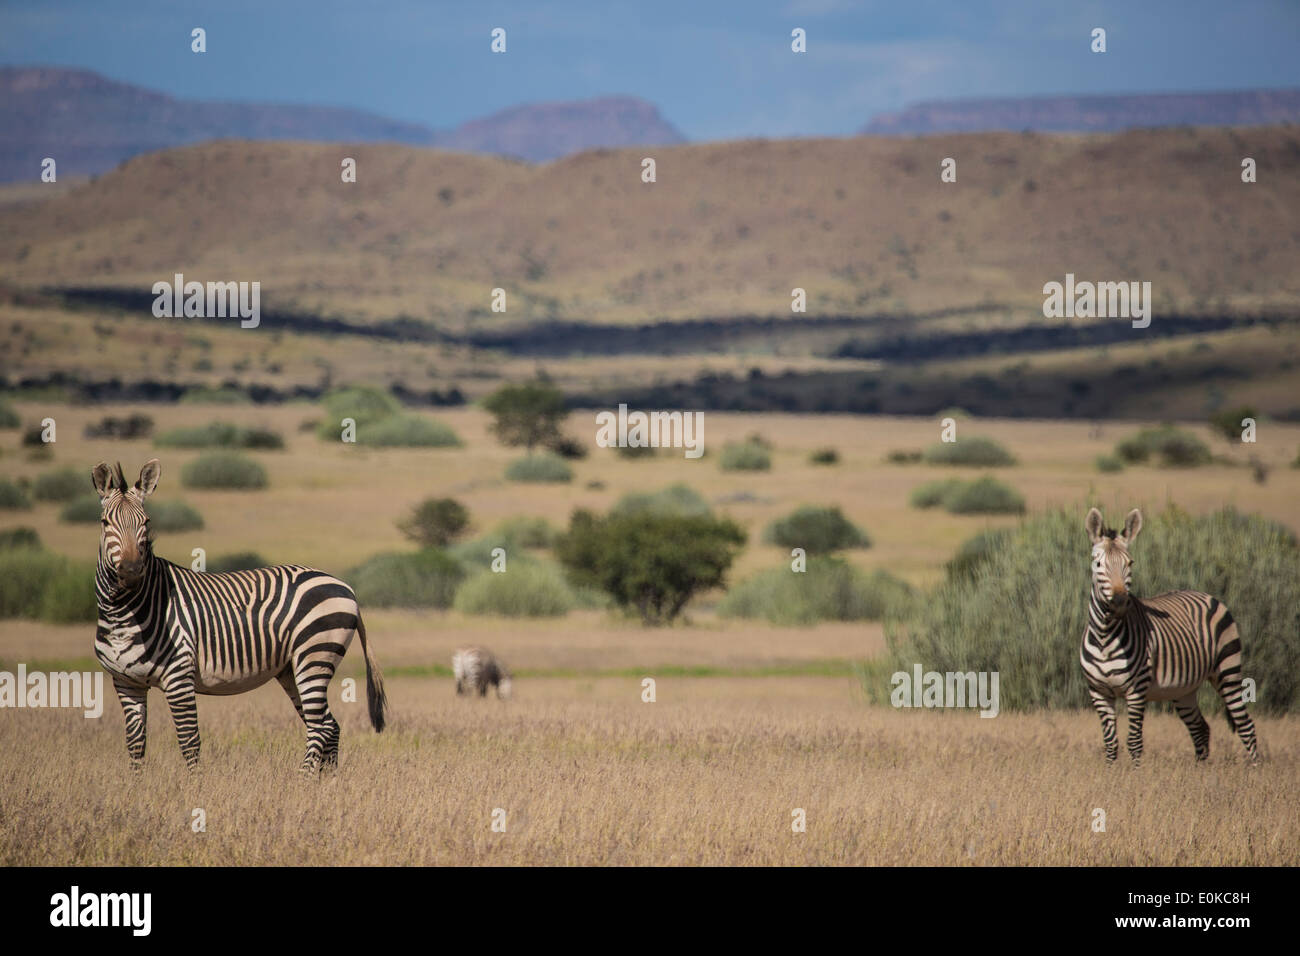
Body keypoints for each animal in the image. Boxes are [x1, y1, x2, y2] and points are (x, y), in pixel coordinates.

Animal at [90, 460, 384, 775]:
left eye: (146, 522)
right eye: (105, 523)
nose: (131, 572)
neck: (123, 613)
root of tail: (344, 585)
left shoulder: (178, 676)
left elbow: (189, 740)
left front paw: (195, 784)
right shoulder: (125, 682)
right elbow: (135, 743)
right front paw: (135, 783)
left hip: (314, 655)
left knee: (320, 726)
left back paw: (303, 779)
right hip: (291, 668)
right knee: (330, 724)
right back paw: (327, 780)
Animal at [1076, 509, 1258, 770]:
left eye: (1130, 563)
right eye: (1098, 563)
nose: (1120, 602)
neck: (1105, 636)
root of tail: (1206, 594)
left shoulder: (1136, 690)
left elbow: (1134, 741)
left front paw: (1135, 775)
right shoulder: (1099, 692)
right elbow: (1110, 742)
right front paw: (1109, 773)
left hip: (1228, 671)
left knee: (1245, 726)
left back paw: (1255, 770)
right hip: (1183, 690)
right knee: (1200, 728)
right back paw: (1200, 772)